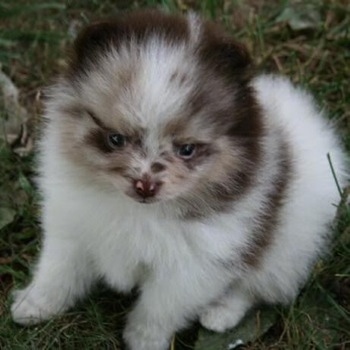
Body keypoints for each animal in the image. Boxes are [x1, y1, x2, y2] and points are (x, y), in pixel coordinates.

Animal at [10, 9, 348, 350]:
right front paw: (35, 305)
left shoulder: (195, 265)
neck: (137, 211)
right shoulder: (72, 227)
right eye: (115, 139)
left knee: (257, 282)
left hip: (291, 243)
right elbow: (58, 272)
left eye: (186, 150)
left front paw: (144, 339)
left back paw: (220, 313)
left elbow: (160, 306)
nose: (145, 185)